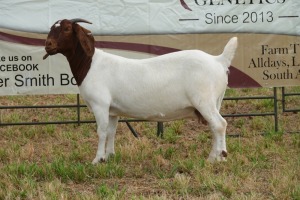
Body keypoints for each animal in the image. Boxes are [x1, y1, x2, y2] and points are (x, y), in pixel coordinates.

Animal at [43, 18, 238, 164]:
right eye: (51, 28)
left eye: (67, 29)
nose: (48, 45)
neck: (91, 64)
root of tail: (219, 60)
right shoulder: (112, 110)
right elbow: (112, 131)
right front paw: (110, 156)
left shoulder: (100, 105)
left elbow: (102, 131)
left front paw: (98, 159)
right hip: (215, 101)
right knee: (215, 127)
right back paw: (219, 156)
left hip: (204, 100)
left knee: (220, 124)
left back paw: (214, 159)